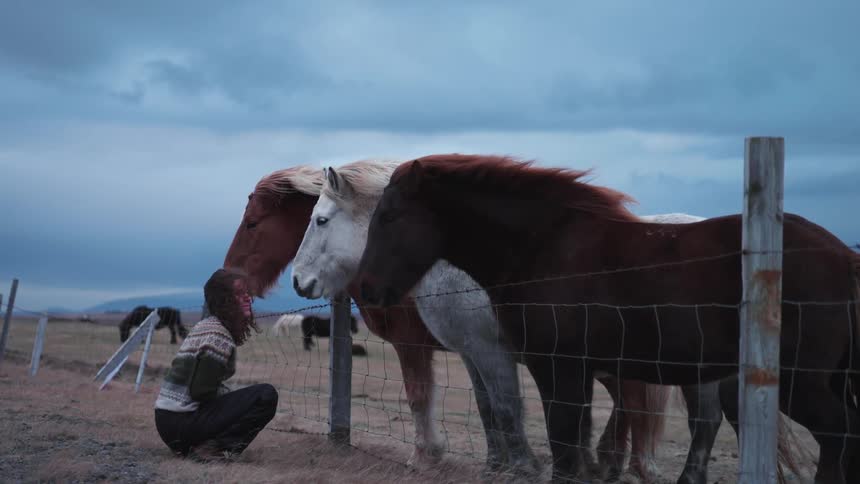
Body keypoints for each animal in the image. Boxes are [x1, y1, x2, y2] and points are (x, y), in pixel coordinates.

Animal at [224, 164, 668, 476]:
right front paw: (495, 465)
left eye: (252, 223)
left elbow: (426, 397)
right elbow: (487, 407)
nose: (299, 282)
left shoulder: (427, 346)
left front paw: (426, 457)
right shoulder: (470, 350)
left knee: (632, 401)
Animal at [356, 154, 860, 483]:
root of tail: (843, 257)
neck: (544, 248)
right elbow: (573, 442)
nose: (367, 290)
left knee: (837, 433)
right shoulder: (570, 371)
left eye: (390, 216)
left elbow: (563, 445)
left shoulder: (556, 368)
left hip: (798, 382)